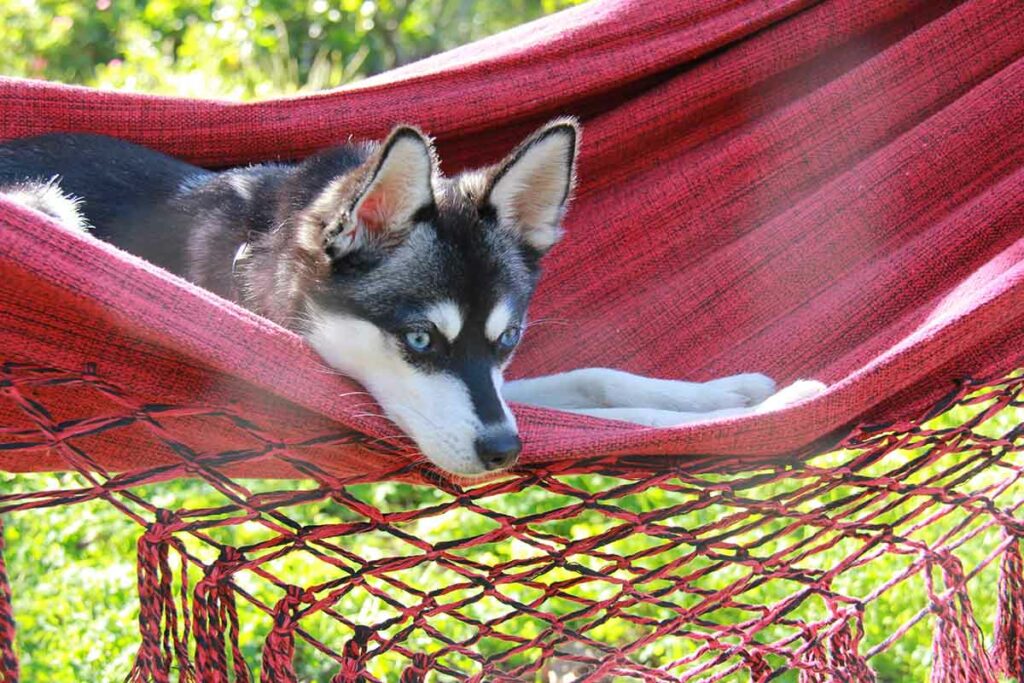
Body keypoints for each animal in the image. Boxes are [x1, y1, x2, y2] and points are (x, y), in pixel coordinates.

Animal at [0, 120, 819, 475]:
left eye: (507, 339)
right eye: (419, 339)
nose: (504, 450)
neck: (256, 259)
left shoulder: (501, 385)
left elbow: (599, 380)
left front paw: (735, 395)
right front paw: (747, 414)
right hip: (49, 200)